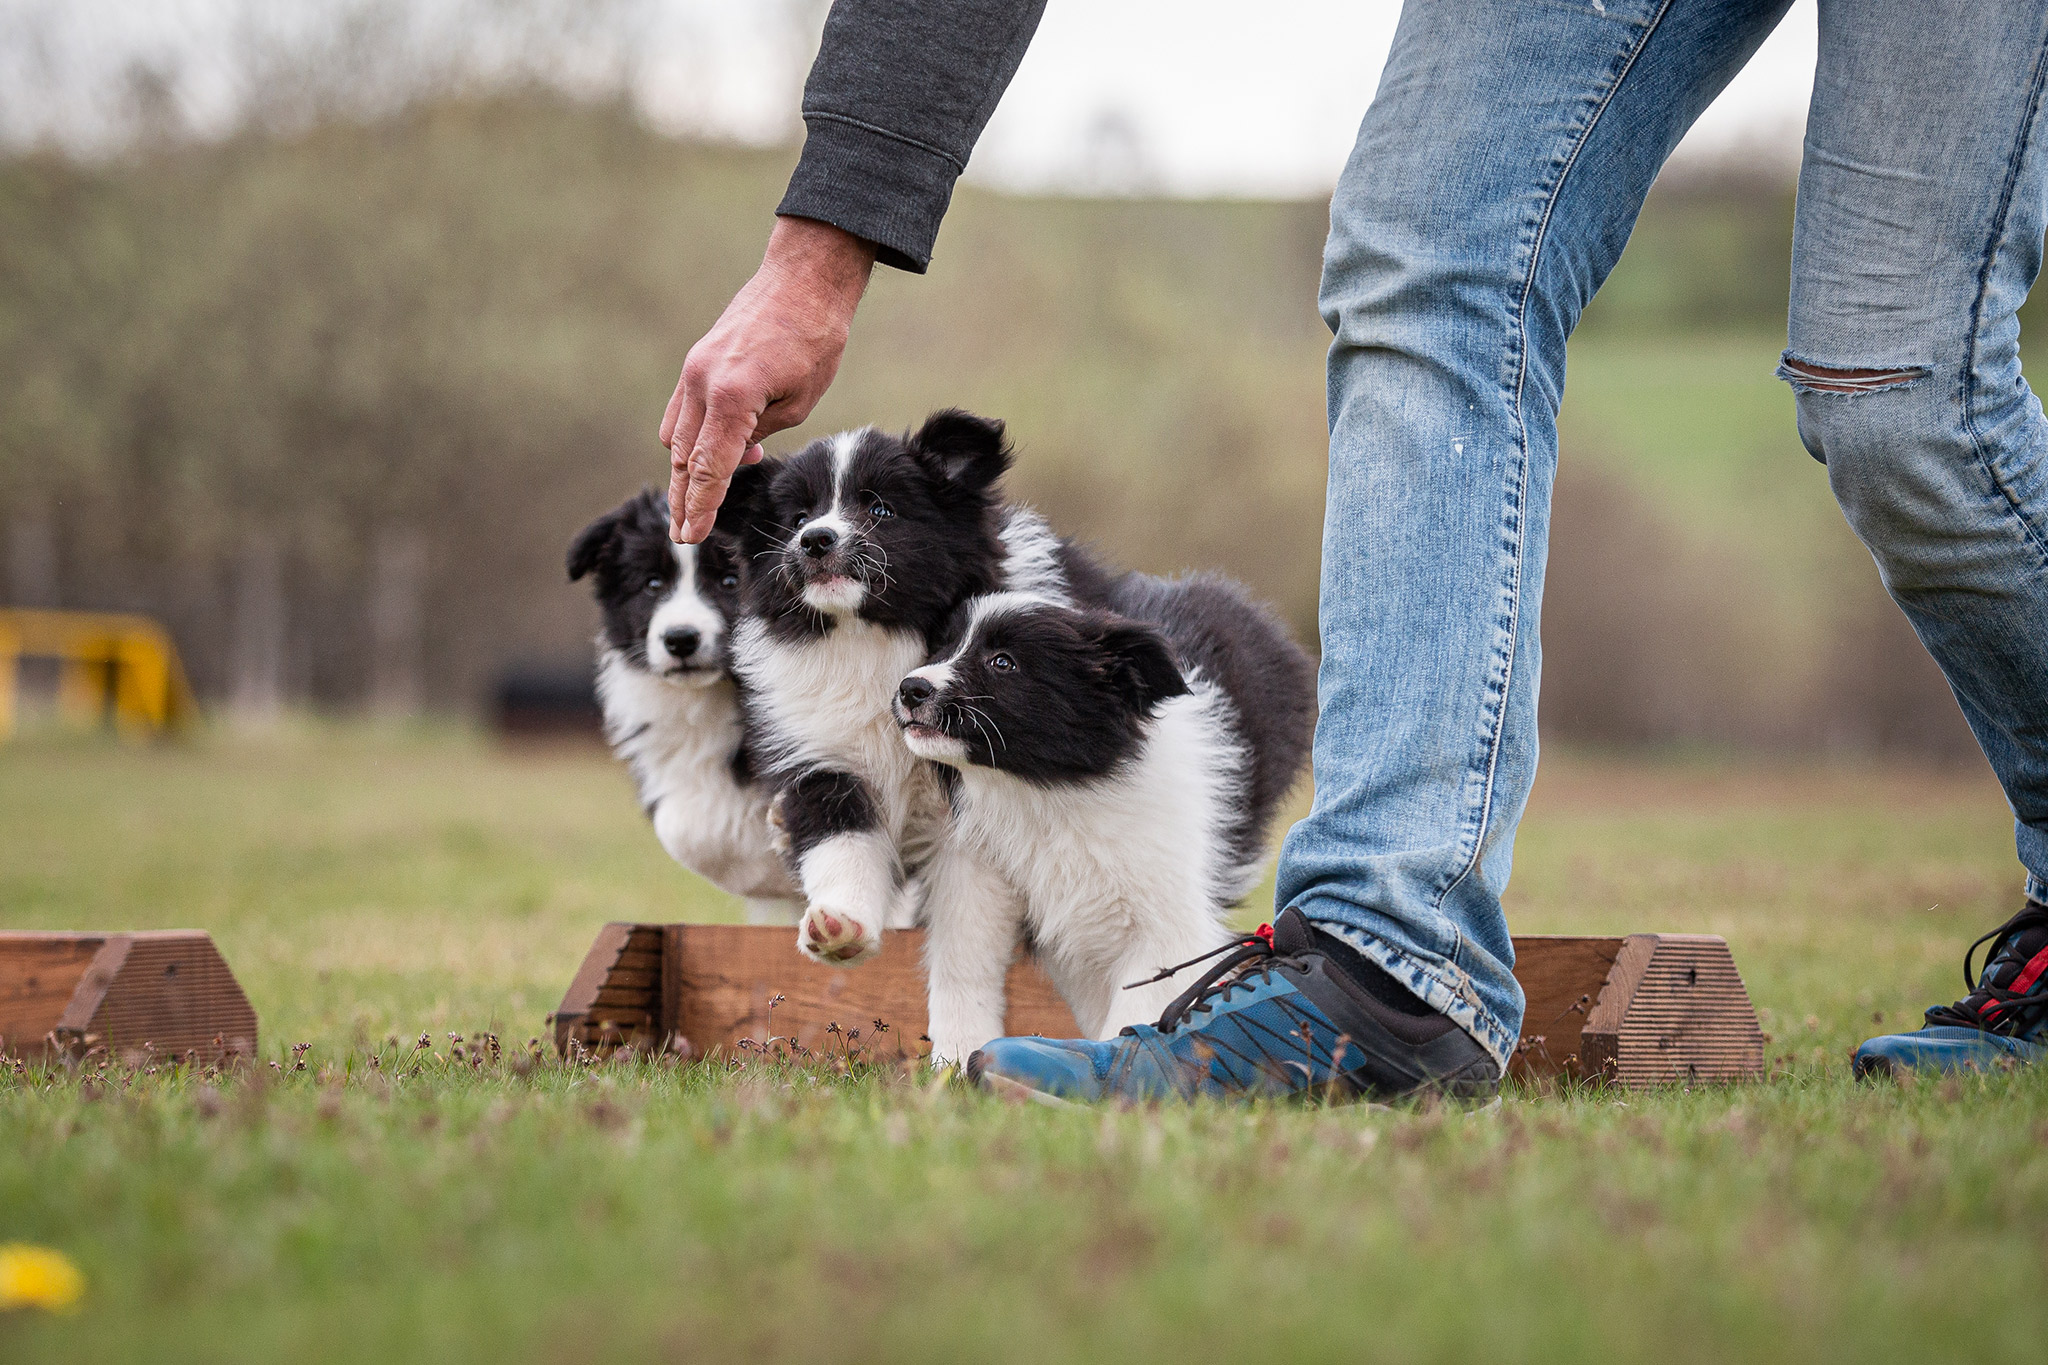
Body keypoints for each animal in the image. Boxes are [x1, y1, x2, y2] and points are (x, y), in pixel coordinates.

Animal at [720, 411, 1073, 965]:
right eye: (797, 519)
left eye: (880, 509)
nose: (815, 540)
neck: (869, 638)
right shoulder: (822, 756)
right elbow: (839, 841)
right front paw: (839, 925)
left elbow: (966, 921)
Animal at [892, 573, 1310, 1055]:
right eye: (942, 648)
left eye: (1003, 662)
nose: (910, 689)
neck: (1050, 788)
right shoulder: (980, 873)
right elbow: (965, 956)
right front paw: (957, 1059)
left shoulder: (1164, 918)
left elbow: (1135, 1004)